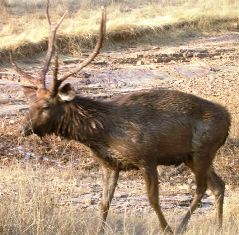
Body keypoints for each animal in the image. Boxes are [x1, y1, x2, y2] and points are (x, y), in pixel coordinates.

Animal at [8, 0, 230, 234]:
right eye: (31, 102)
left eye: (46, 105)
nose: (23, 128)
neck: (102, 133)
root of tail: (229, 118)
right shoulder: (110, 164)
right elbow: (104, 203)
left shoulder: (147, 157)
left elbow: (153, 201)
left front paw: (166, 229)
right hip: (190, 156)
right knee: (218, 185)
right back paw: (218, 226)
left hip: (204, 149)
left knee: (202, 188)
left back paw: (180, 226)